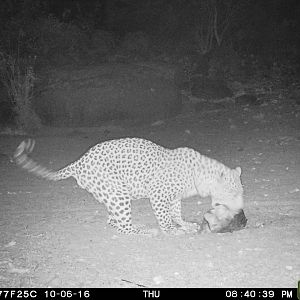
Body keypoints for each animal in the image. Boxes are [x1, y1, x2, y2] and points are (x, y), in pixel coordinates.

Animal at [14, 138, 244, 237]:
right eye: (233, 193)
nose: (241, 210)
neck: (201, 175)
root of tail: (78, 162)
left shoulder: (174, 197)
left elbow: (175, 212)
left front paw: (184, 224)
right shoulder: (158, 195)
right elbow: (164, 217)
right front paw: (171, 230)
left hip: (111, 195)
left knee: (113, 220)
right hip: (118, 193)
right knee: (123, 225)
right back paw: (143, 230)